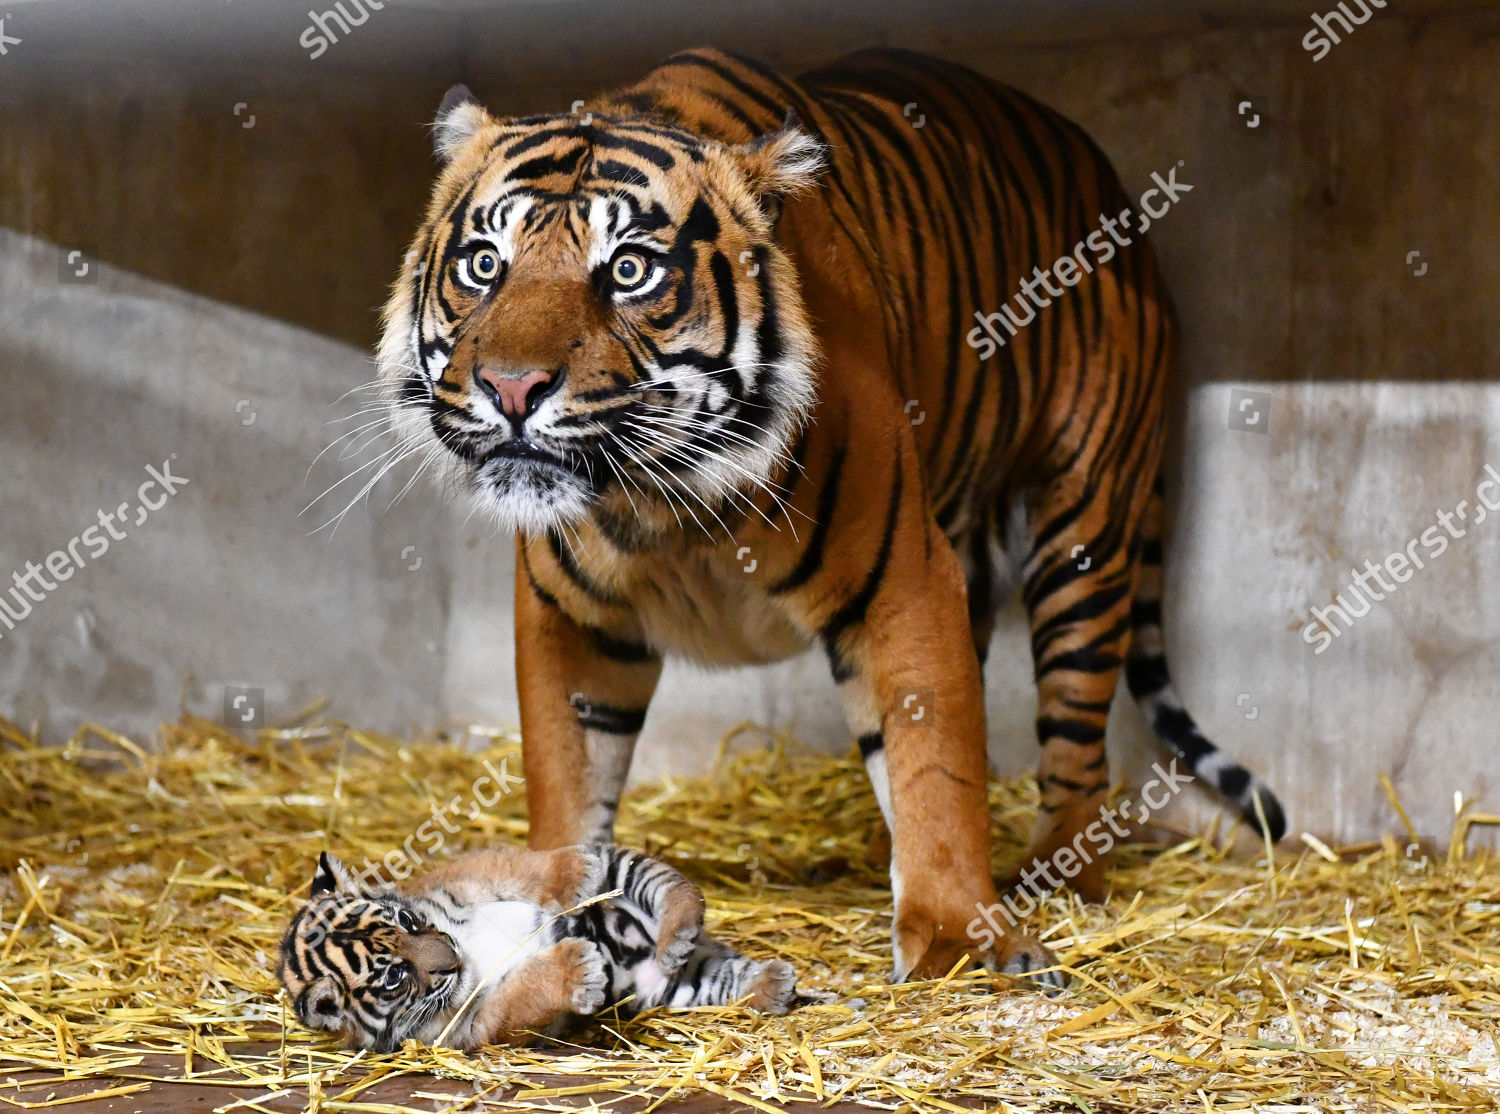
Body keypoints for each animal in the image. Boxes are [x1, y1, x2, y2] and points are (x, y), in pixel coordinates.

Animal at [381, 45, 1284, 983]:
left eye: (629, 271)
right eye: (485, 264)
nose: (511, 388)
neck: (666, 501)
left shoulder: (905, 584)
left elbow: (935, 765)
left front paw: (957, 937)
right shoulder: (574, 618)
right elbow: (568, 774)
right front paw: (555, 906)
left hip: (1085, 525)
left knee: (1074, 737)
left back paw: (1061, 878)